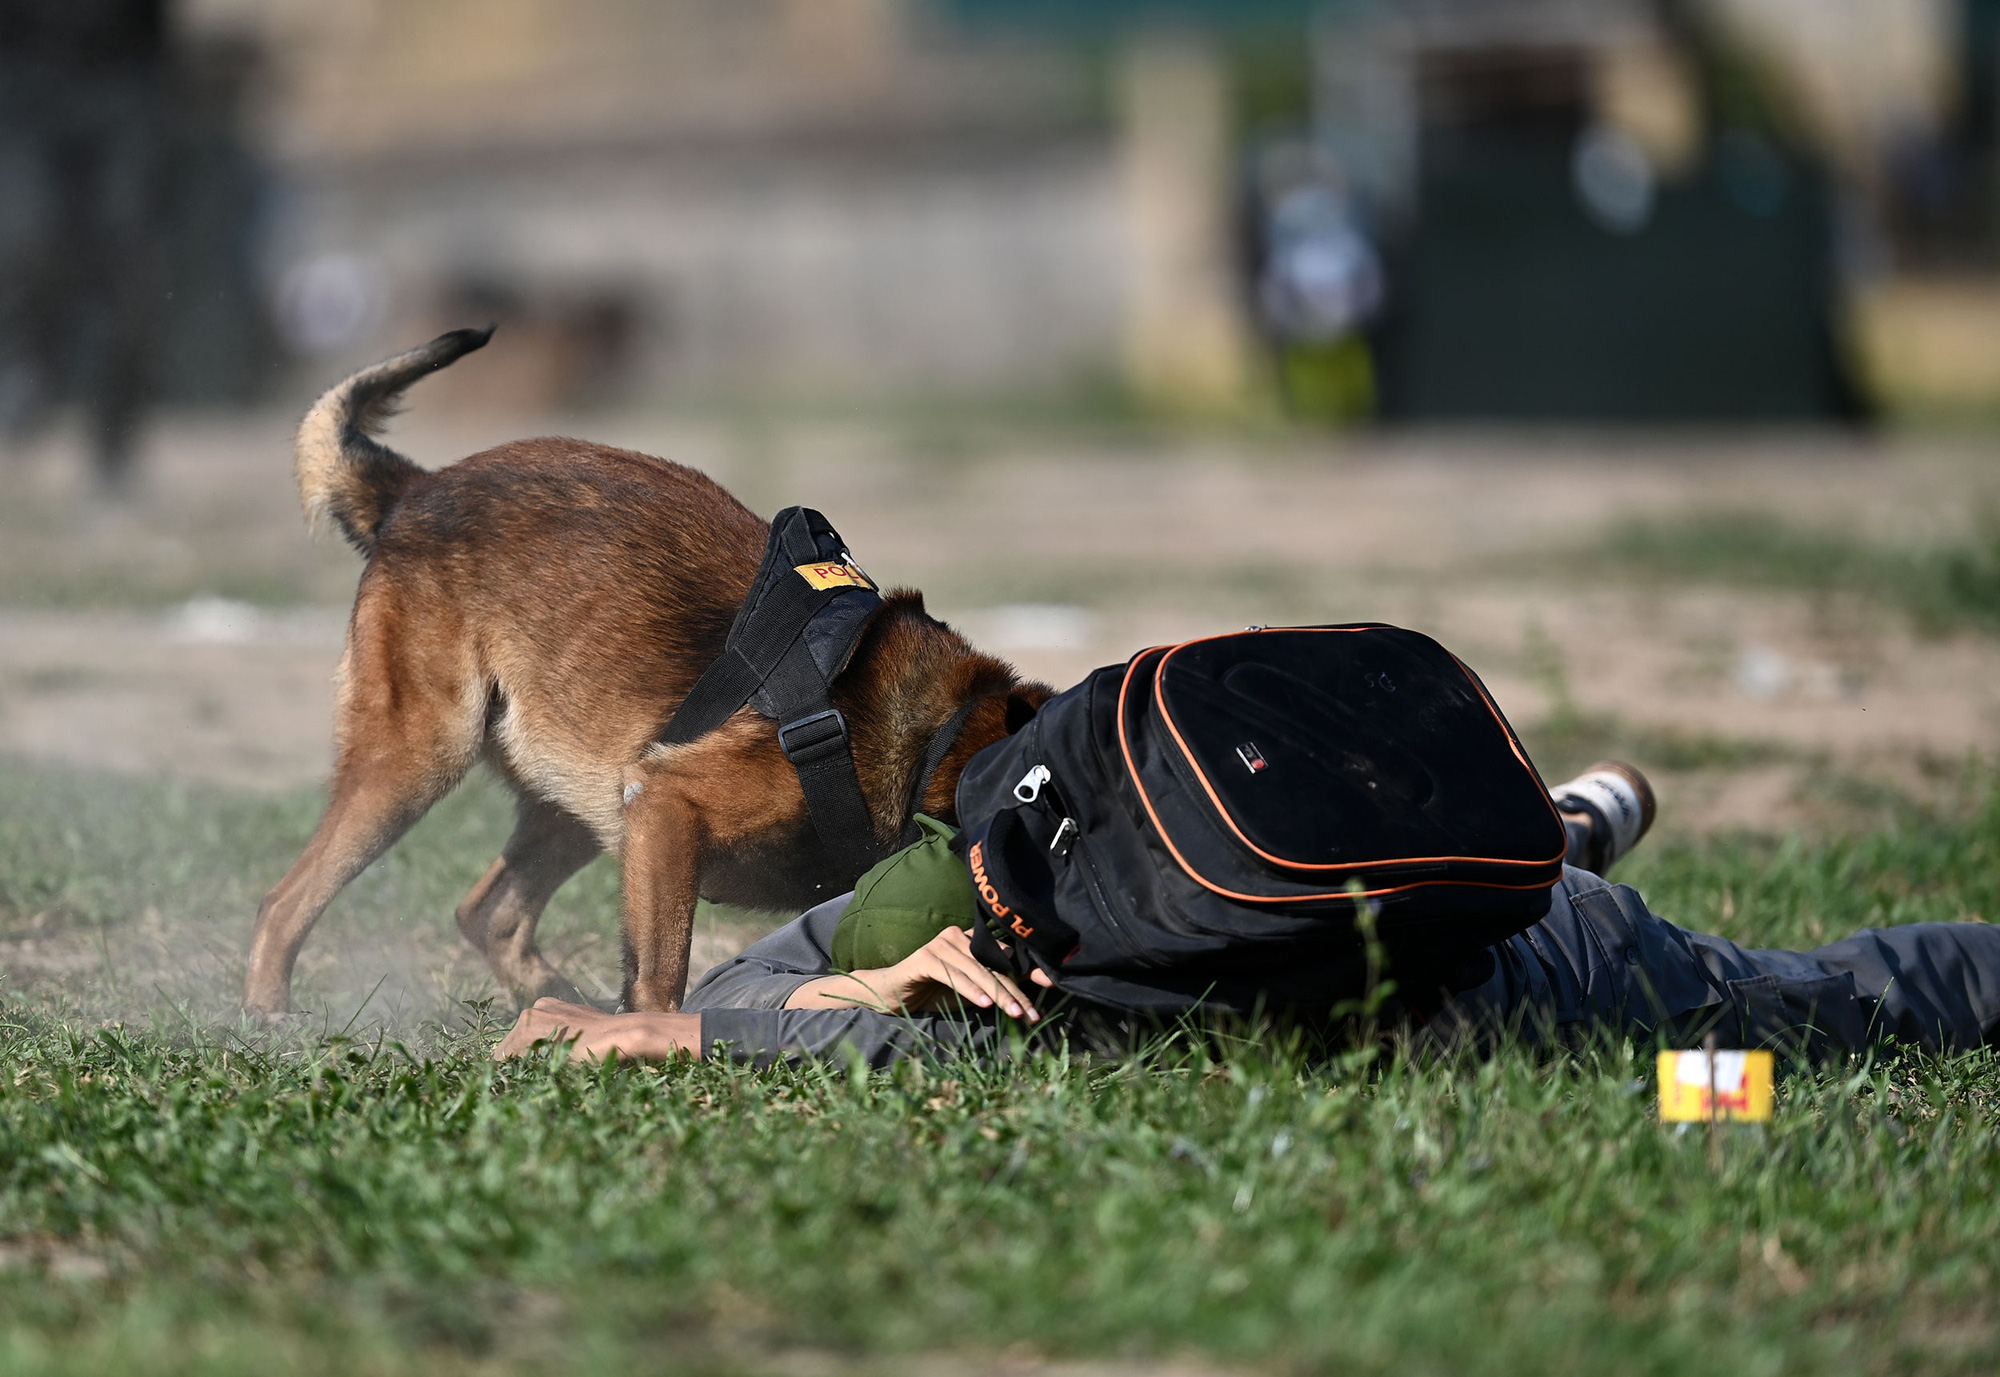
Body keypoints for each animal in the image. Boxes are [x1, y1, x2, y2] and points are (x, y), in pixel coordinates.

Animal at [244, 332, 1056, 1016]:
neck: (938, 739)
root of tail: (414, 488)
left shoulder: (646, 811)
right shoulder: (668, 807)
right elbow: (662, 975)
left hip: (583, 790)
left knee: (488, 911)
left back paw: (551, 999)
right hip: (419, 758)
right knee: (284, 903)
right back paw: (272, 1020)